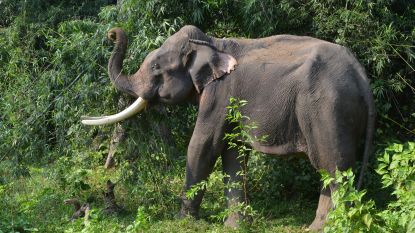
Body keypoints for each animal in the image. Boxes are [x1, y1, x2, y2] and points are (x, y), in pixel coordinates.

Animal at [83, 25, 376, 229]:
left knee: (333, 166)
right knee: (333, 170)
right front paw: (236, 226)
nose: (112, 34)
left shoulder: (220, 94)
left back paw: (334, 226)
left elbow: (203, 145)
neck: (213, 43)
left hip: (327, 109)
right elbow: (233, 154)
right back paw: (317, 227)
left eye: (156, 66)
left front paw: (184, 221)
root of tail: (361, 75)